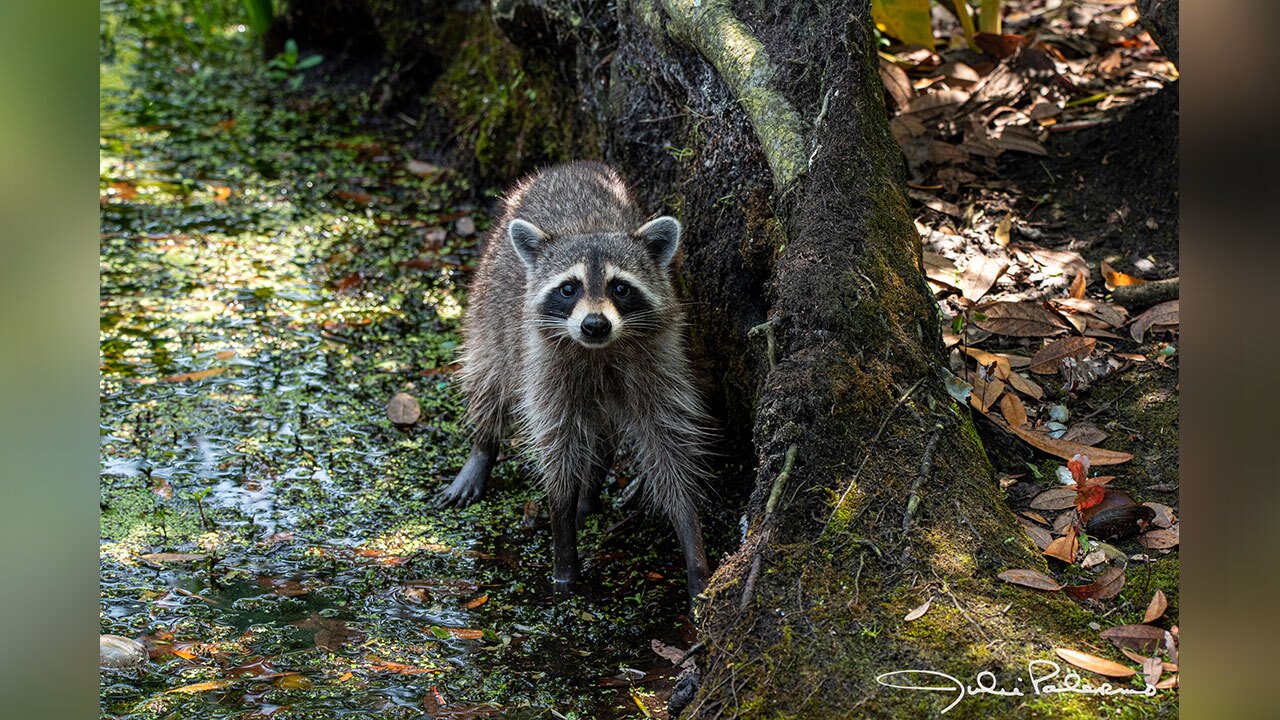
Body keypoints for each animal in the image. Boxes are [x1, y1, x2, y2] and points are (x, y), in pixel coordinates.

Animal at [437, 161, 711, 597]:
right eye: (569, 288)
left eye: (620, 287)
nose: (594, 324)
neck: (600, 351)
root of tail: (570, 165)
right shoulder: (544, 368)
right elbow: (557, 448)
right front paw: (563, 540)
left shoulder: (658, 365)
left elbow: (670, 446)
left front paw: (691, 539)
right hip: (488, 306)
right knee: (488, 375)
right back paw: (484, 445)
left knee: (600, 434)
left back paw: (592, 487)